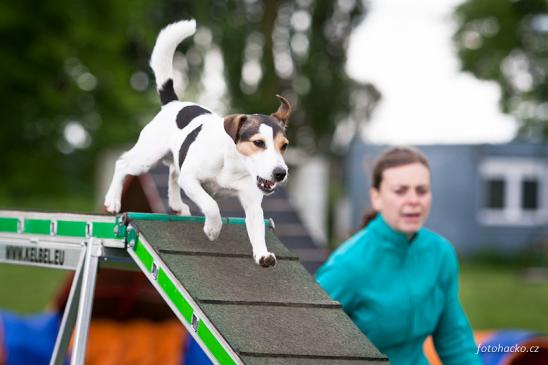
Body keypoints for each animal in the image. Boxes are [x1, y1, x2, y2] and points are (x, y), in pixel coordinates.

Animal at [104, 19, 292, 266]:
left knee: (173, 172)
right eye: (258, 142)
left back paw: (176, 205)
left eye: (284, 145)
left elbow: (257, 228)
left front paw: (263, 254)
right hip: (146, 157)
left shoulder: (252, 201)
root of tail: (173, 103)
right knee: (123, 164)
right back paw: (113, 200)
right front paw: (213, 229)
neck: (232, 164)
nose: (281, 173)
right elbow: (211, 205)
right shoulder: (191, 179)